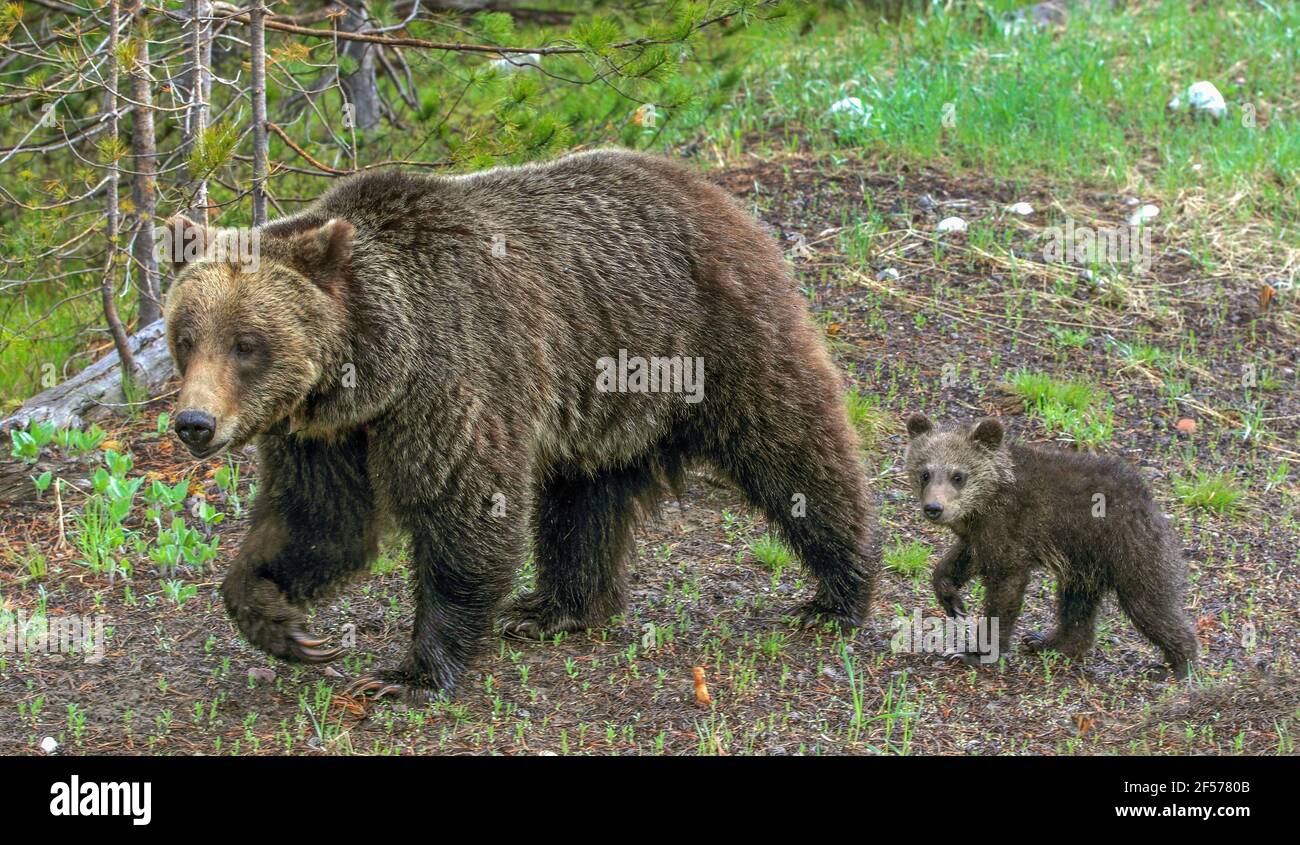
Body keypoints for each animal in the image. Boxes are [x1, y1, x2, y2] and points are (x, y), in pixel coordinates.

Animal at [159, 149, 873, 696]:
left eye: (247, 343)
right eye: (184, 337)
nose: (194, 423)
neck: (371, 374)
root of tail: (714, 191)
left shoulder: (454, 378)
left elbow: (465, 509)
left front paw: (412, 672)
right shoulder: (318, 433)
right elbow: (320, 522)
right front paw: (284, 623)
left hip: (713, 338)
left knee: (792, 446)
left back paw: (841, 591)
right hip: (604, 401)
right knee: (583, 501)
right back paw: (557, 608)